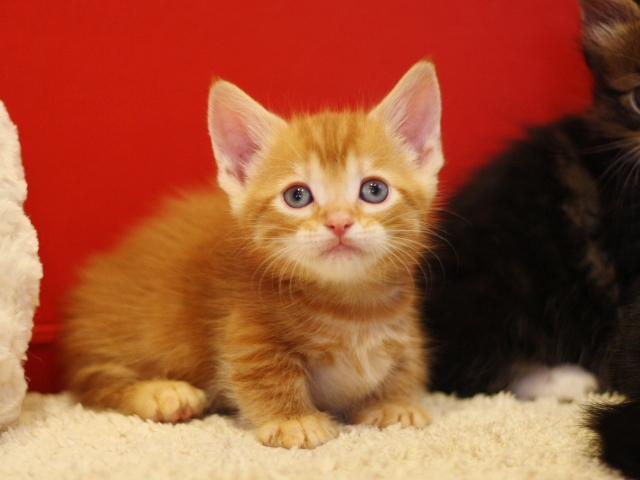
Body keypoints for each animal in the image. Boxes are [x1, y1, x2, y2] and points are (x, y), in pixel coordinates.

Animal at [61, 61, 444, 450]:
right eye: (297, 196)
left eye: (374, 190)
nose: (339, 222)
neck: (353, 309)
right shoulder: (248, 327)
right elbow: (263, 373)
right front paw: (294, 420)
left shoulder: (404, 329)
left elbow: (406, 364)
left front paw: (393, 402)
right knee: (93, 380)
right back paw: (160, 393)